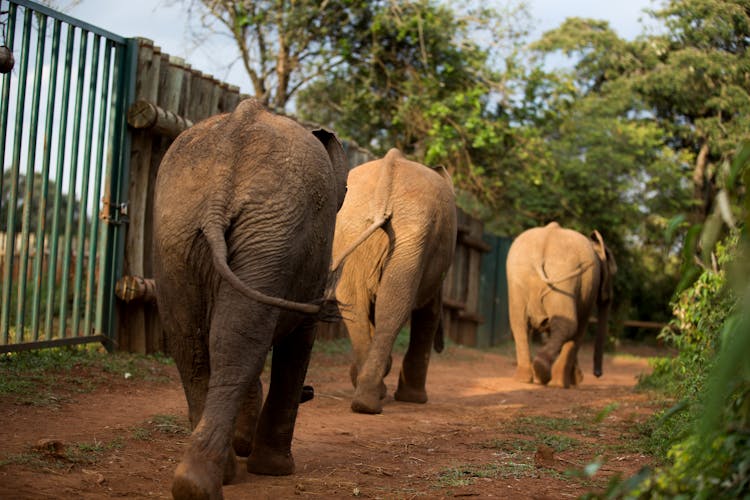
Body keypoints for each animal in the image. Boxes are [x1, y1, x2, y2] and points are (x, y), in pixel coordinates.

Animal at [153, 98, 352, 500]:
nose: (311, 392)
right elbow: (299, 342)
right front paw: (275, 471)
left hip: (182, 229)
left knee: (196, 344)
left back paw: (201, 481)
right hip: (270, 233)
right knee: (236, 342)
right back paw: (209, 481)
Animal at [326, 148, 462, 414]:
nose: (443, 347)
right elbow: (428, 313)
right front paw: (413, 399)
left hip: (357, 231)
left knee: (358, 304)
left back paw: (365, 401)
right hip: (411, 234)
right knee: (395, 305)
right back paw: (370, 400)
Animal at [508, 221, 620, 388]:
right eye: (613, 274)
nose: (598, 374)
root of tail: (539, 252)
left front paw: (574, 379)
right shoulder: (588, 287)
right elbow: (579, 329)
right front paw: (568, 383)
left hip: (520, 277)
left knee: (519, 323)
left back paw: (526, 378)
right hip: (563, 277)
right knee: (570, 325)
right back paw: (544, 376)